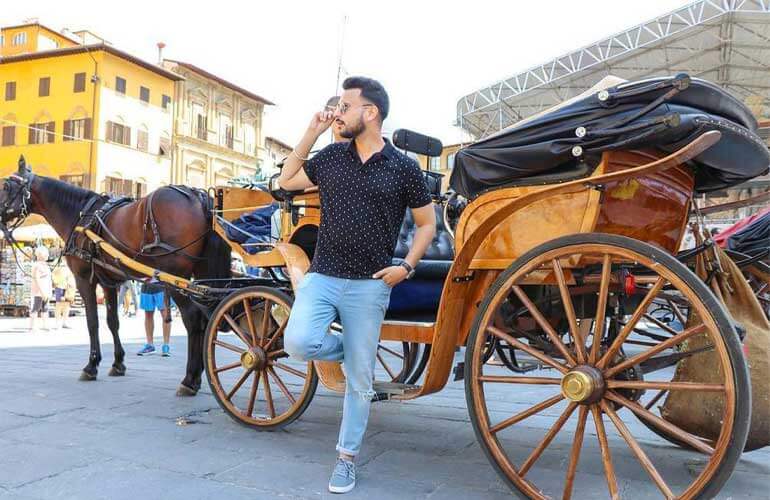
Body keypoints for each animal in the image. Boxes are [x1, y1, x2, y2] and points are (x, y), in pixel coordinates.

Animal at [0, 156, 230, 394]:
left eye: (6, 186)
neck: (81, 214)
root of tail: (198, 197)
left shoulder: (84, 279)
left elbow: (92, 321)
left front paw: (91, 365)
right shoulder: (109, 282)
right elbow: (112, 321)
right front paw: (118, 363)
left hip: (175, 276)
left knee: (193, 317)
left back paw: (189, 379)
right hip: (203, 275)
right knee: (208, 317)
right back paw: (198, 375)